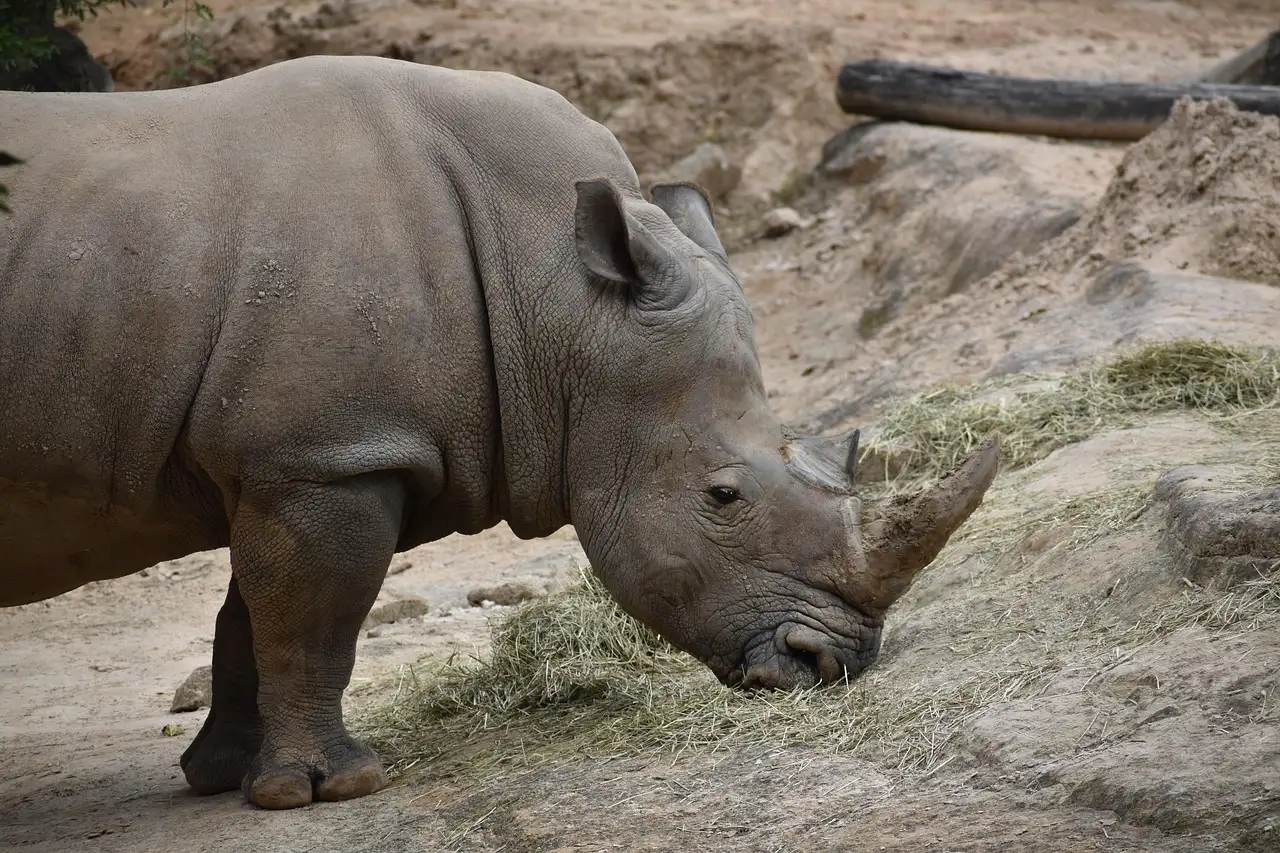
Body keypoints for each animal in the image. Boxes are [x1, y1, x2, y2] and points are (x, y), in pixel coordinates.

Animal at [0, 55, 1000, 810]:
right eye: (723, 496)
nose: (833, 662)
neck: (559, 296)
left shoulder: (289, 458)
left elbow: (251, 613)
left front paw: (223, 778)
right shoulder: (328, 456)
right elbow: (311, 615)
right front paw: (326, 789)